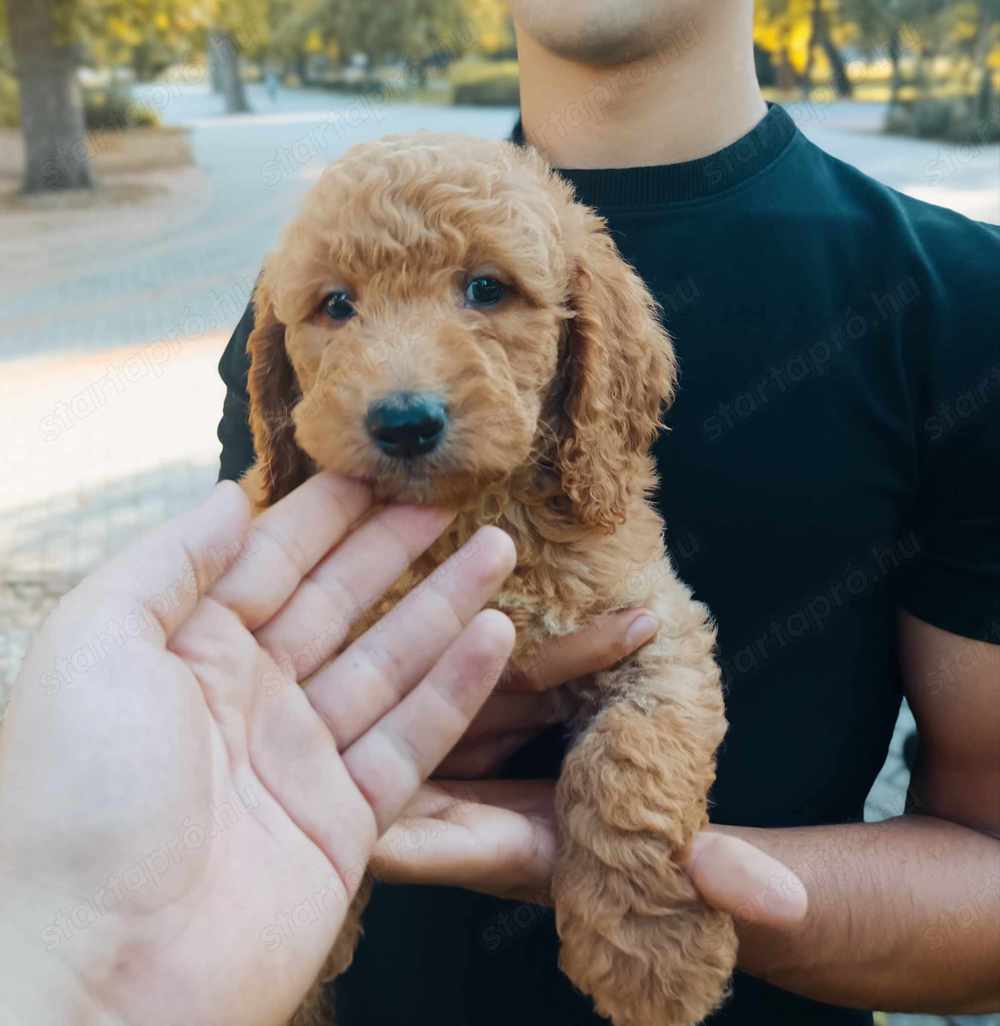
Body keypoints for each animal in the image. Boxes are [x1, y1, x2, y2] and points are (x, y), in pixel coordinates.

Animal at [242, 136, 738, 1026]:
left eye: (486, 288)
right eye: (337, 305)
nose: (404, 422)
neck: (470, 515)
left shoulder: (656, 626)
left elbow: (631, 761)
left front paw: (654, 957)